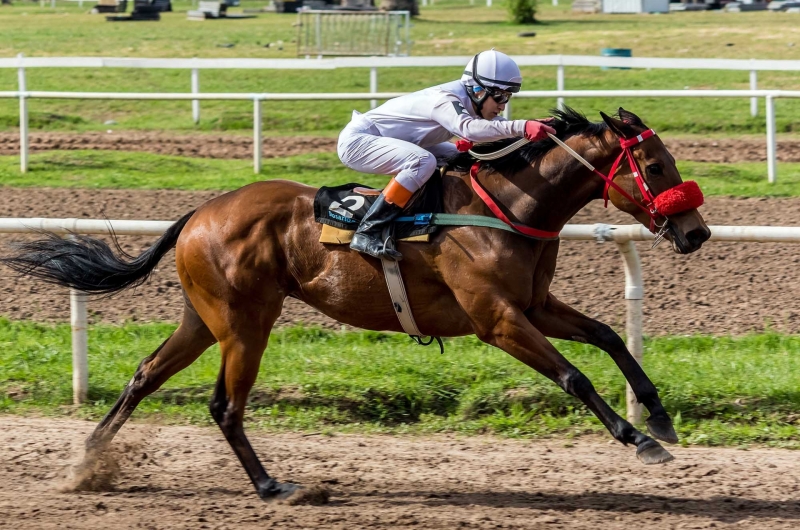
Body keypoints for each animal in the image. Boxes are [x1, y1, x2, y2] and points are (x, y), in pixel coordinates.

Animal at [1, 106, 712, 500]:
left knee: (145, 375)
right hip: (245, 323)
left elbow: (610, 337)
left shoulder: (534, 306)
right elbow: (574, 375)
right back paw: (271, 485)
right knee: (224, 405)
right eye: (655, 166)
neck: (507, 209)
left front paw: (658, 417)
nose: (696, 233)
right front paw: (635, 439)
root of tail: (201, 212)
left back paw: (86, 462)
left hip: (203, 319)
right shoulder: (497, 320)